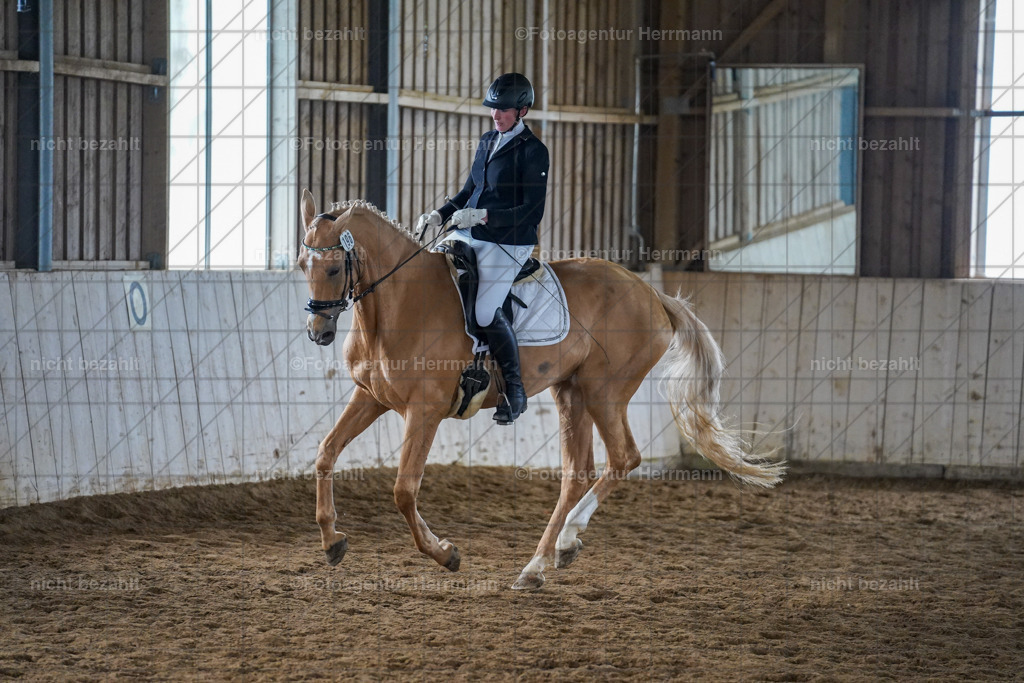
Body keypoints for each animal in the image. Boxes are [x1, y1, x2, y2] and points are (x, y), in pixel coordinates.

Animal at [297, 189, 784, 590]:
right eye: (304, 265)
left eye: (335, 266)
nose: (318, 333)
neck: (399, 305)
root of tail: (650, 293)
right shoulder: (371, 397)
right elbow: (325, 453)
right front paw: (332, 540)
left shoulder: (425, 411)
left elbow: (403, 490)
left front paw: (445, 554)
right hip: (571, 393)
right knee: (577, 472)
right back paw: (540, 564)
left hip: (604, 392)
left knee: (624, 458)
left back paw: (563, 542)